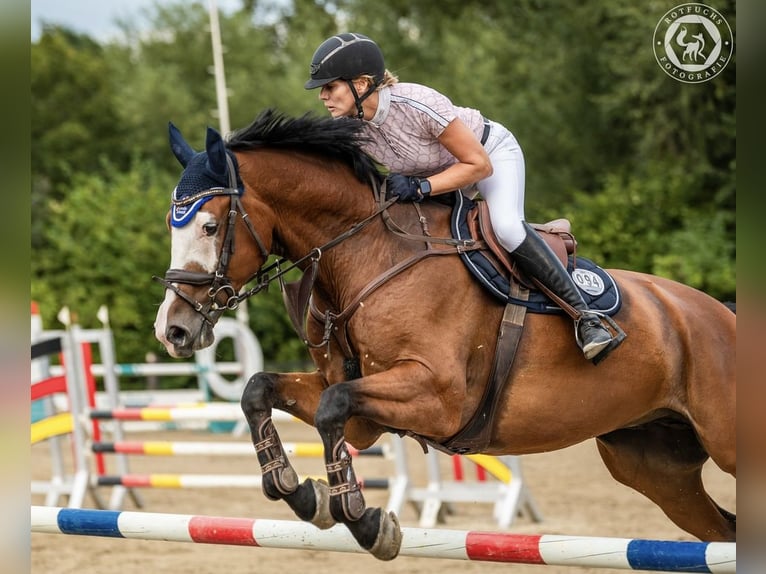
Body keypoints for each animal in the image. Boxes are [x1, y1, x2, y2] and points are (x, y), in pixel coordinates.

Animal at [156, 109, 736, 564]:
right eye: (170, 224)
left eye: (210, 226)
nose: (172, 329)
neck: (369, 255)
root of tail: (719, 313)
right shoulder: (366, 417)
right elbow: (262, 390)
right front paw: (300, 494)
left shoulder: (438, 398)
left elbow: (330, 408)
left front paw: (360, 517)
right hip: (653, 467)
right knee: (723, 529)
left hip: (721, 443)